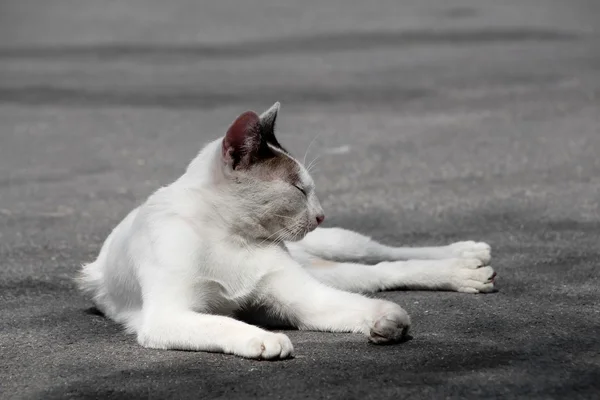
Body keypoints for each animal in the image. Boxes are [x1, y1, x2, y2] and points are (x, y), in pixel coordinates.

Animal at [77, 102, 494, 360]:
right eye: (299, 189)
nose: (321, 215)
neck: (231, 236)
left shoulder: (300, 295)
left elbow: (355, 305)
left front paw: (386, 320)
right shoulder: (168, 315)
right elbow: (223, 321)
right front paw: (262, 338)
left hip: (333, 253)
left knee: (380, 257)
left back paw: (465, 257)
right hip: (330, 269)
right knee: (377, 274)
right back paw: (465, 268)